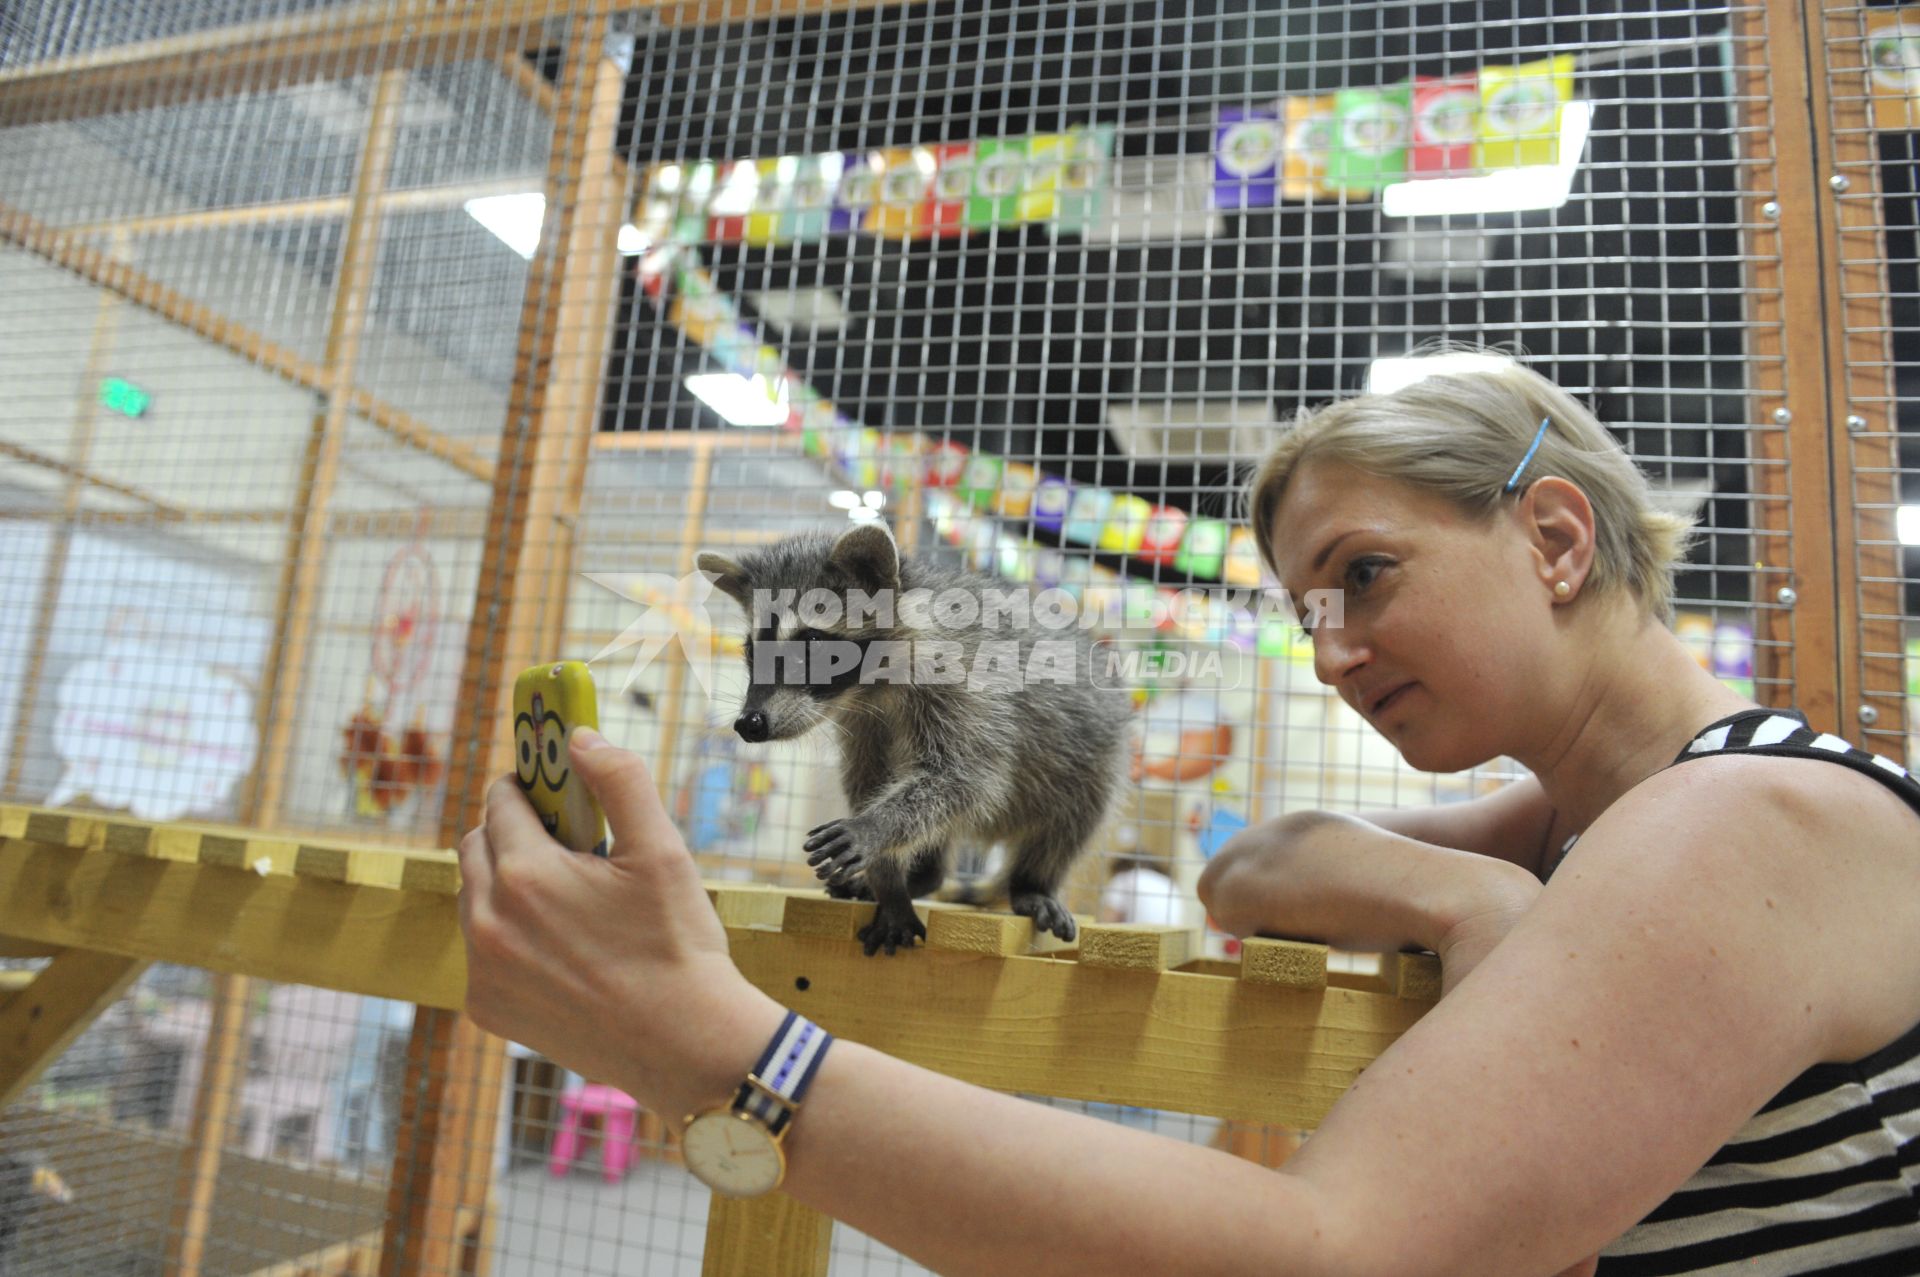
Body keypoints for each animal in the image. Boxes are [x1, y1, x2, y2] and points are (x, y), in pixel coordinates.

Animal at [698, 522, 1128, 952]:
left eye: (813, 643)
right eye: (751, 650)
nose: (750, 723)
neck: (871, 684)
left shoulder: (967, 687)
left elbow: (967, 778)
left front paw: (876, 827)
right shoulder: (863, 722)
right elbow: (871, 780)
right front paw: (888, 881)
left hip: (1093, 752)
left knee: (1071, 818)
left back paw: (1033, 881)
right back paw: (923, 875)